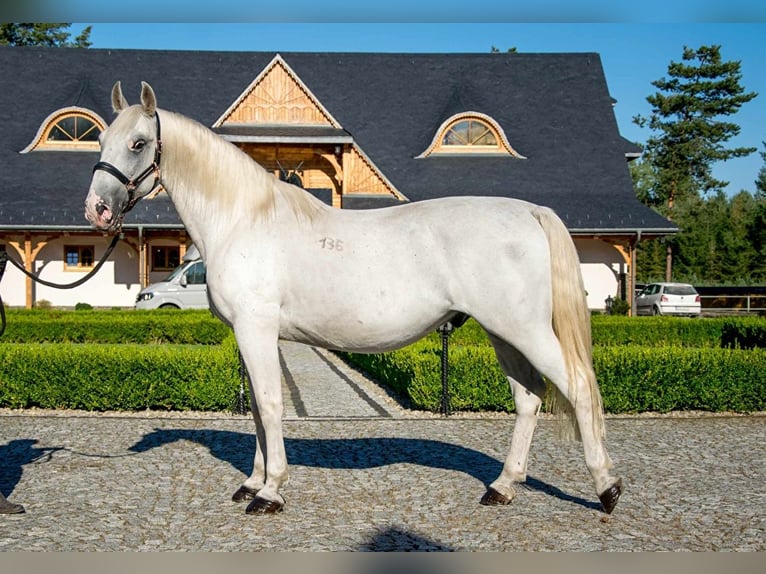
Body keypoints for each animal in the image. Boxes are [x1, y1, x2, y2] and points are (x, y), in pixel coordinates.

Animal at [84, 81, 624, 516]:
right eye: (101, 140)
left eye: (138, 143)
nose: (97, 209)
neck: (243, 218)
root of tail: (530, 211)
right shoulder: (248, 333)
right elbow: (257, 407)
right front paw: (252, 482)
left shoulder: (257, 328)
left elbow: (270, 404)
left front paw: (270, 492)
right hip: (503, 333)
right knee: (528, 399)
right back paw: (503, 486)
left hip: (524, 330)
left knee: (577, 387)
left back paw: (607, 488)